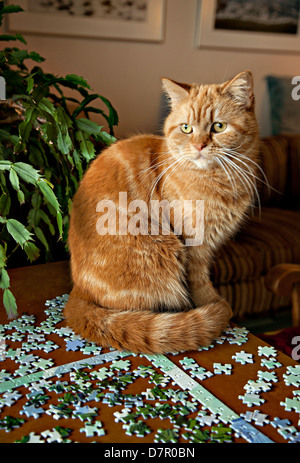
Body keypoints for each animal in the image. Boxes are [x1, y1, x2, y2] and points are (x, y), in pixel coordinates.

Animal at [64, 70, 258, 354]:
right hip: (161, 250)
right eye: (186, 128)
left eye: (219, 127)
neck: (219, 179)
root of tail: (77, 290)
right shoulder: (194, 244)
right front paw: (213, 304)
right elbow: (200, 283)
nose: (199, 146)